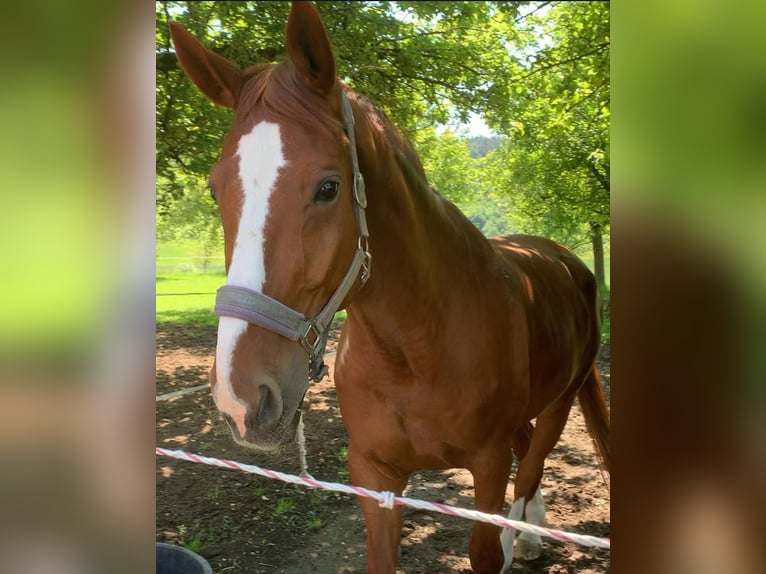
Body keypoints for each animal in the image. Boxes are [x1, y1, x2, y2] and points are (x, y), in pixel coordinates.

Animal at [170, 2, 612, 572]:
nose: (240, 397)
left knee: (535, 460)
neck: (415, 347)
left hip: (562, 400)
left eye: (329, 187)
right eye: (214, 187)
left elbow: (486, 545)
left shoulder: (487, 468)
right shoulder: (374, 475)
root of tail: (563, 259)